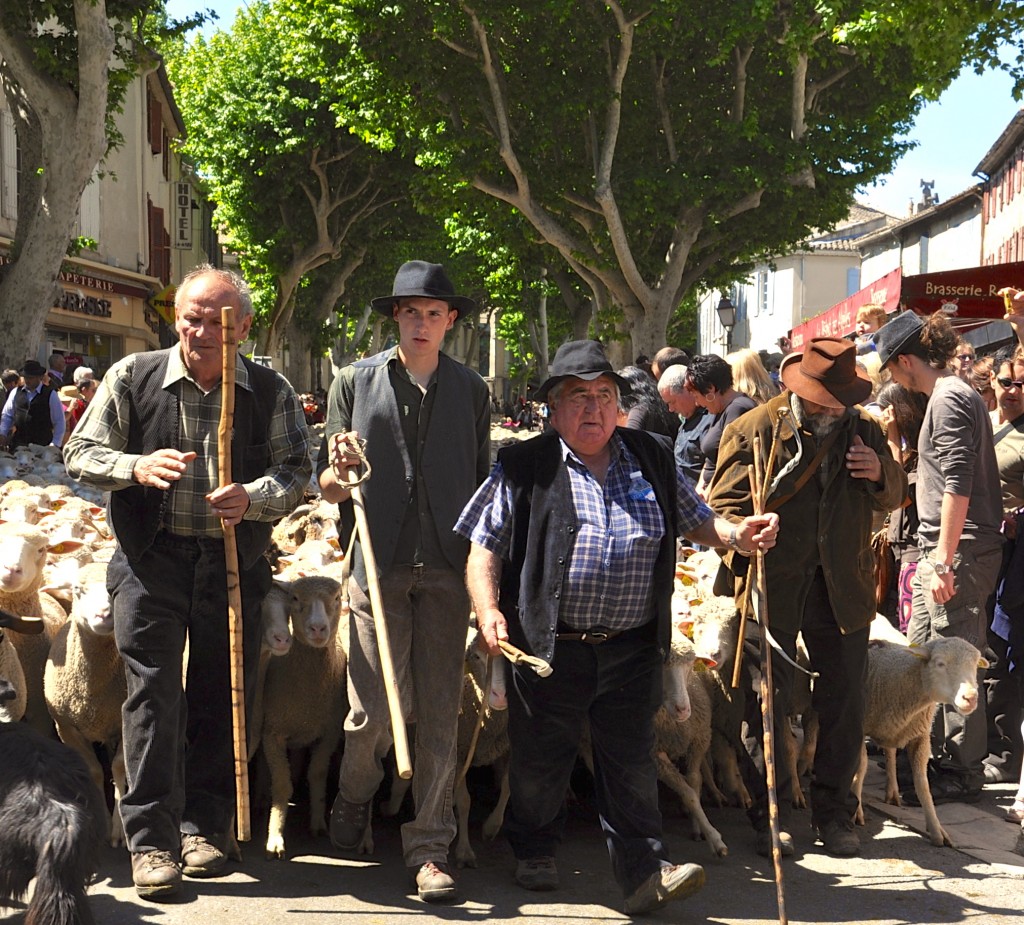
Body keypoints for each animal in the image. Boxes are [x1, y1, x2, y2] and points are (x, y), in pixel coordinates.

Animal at [43, 561, 128, 848]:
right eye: (78, 589)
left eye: (116, 590)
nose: (104, 615)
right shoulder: (65, 727)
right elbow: (93, 771)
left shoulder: (125, 721)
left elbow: (119, 767)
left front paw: (119, 829)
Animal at [260, 577, 348, 860]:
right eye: (296, 599)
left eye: (337, 597)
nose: (318, 628)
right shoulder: (272, 734)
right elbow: (282, 785)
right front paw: (275, 836)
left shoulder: (329, 733)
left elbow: (317, 774)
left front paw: (318, 823)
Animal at [856, 639, 991, 848]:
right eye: (940, 663)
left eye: (975, 666)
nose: (970, 698)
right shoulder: (859, 727)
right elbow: (861, 768)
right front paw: (856, 811)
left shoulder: (921, 738)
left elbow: (922, 784)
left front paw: (936, 830)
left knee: (890, 752)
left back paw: (893, 791)